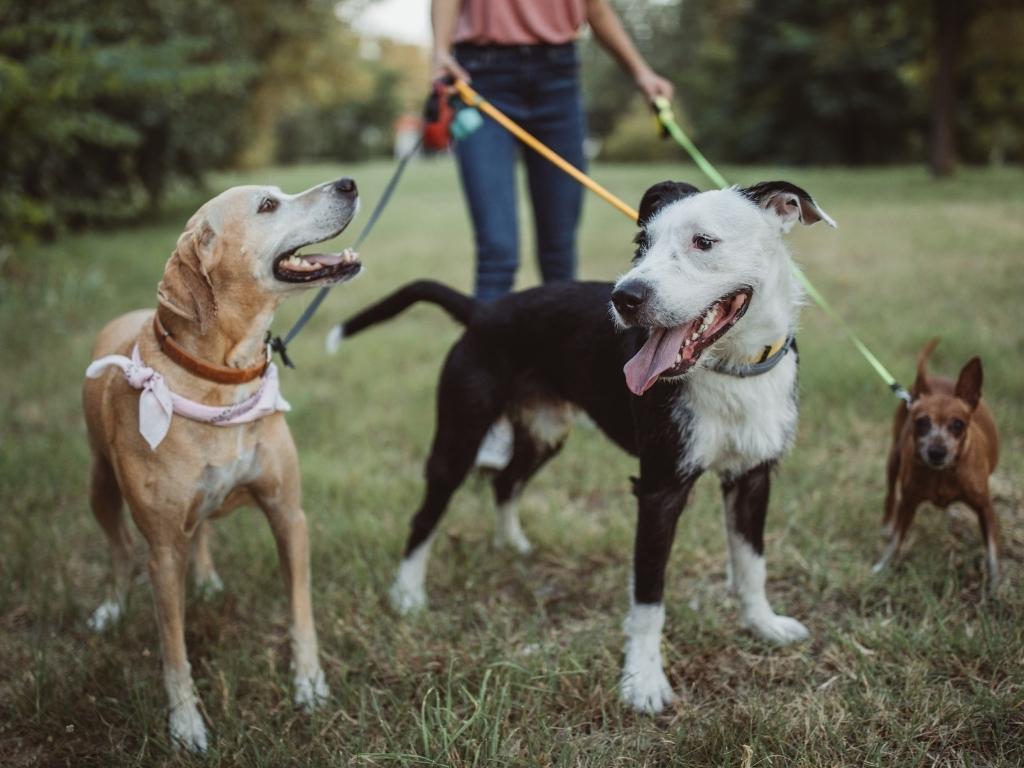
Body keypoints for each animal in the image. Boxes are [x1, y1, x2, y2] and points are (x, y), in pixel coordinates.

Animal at [331, 182, 835, 716]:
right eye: (641, 244)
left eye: (704, 242)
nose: (625, 298)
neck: (733, 370)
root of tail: (483, 311)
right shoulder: (659, 490)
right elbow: (649, 597)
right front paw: (642, 681)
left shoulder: (753, 477)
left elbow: (752, 564)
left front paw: (764, 626)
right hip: (459, 438)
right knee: (426, 516)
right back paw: (407, 594)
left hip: (545, 434)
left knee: (506, 481)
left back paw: (511, 544)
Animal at [872, 339, 999, 593]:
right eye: (921, 422)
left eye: (958, 425)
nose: (937, 452)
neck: (944, 474)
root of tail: (932, 379)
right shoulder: (908, 504)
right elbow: (896, 540)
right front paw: (882, 568)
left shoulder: (985, 508)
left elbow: (991, 550)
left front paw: (996, 584)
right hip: (893, 459)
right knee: (891, 496)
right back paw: (887, 524)